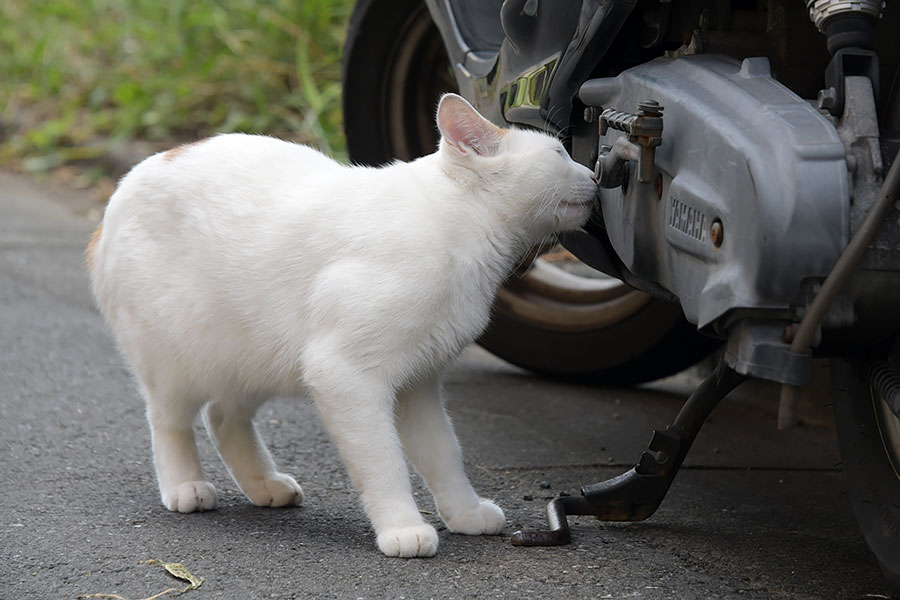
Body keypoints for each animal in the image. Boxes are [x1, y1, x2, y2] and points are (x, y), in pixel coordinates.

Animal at [88, 94, 596, 556]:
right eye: (559, 154)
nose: (594, 174)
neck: (456, 225)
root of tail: (126, 183)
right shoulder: (344, 374)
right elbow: (384, 462)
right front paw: (402, 528)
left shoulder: (419, 383)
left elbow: (443, 454)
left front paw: (465, 513)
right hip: (175, 361)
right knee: (169, 421)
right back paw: (185, 486)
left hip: (256, 356)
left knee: (223, 416)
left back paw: (264, 485)